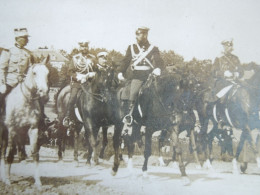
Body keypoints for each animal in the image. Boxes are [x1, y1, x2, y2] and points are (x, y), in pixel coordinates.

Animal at [0, 55, 49, 190]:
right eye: (34, 73)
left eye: (48, 73)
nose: (44, 93)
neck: (25, 102)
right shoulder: (12, 130)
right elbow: (10, 154)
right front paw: (8, 181)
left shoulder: (33, 129)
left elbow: (35, 153)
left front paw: (38, 182)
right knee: (3, 151)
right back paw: (4, 177)